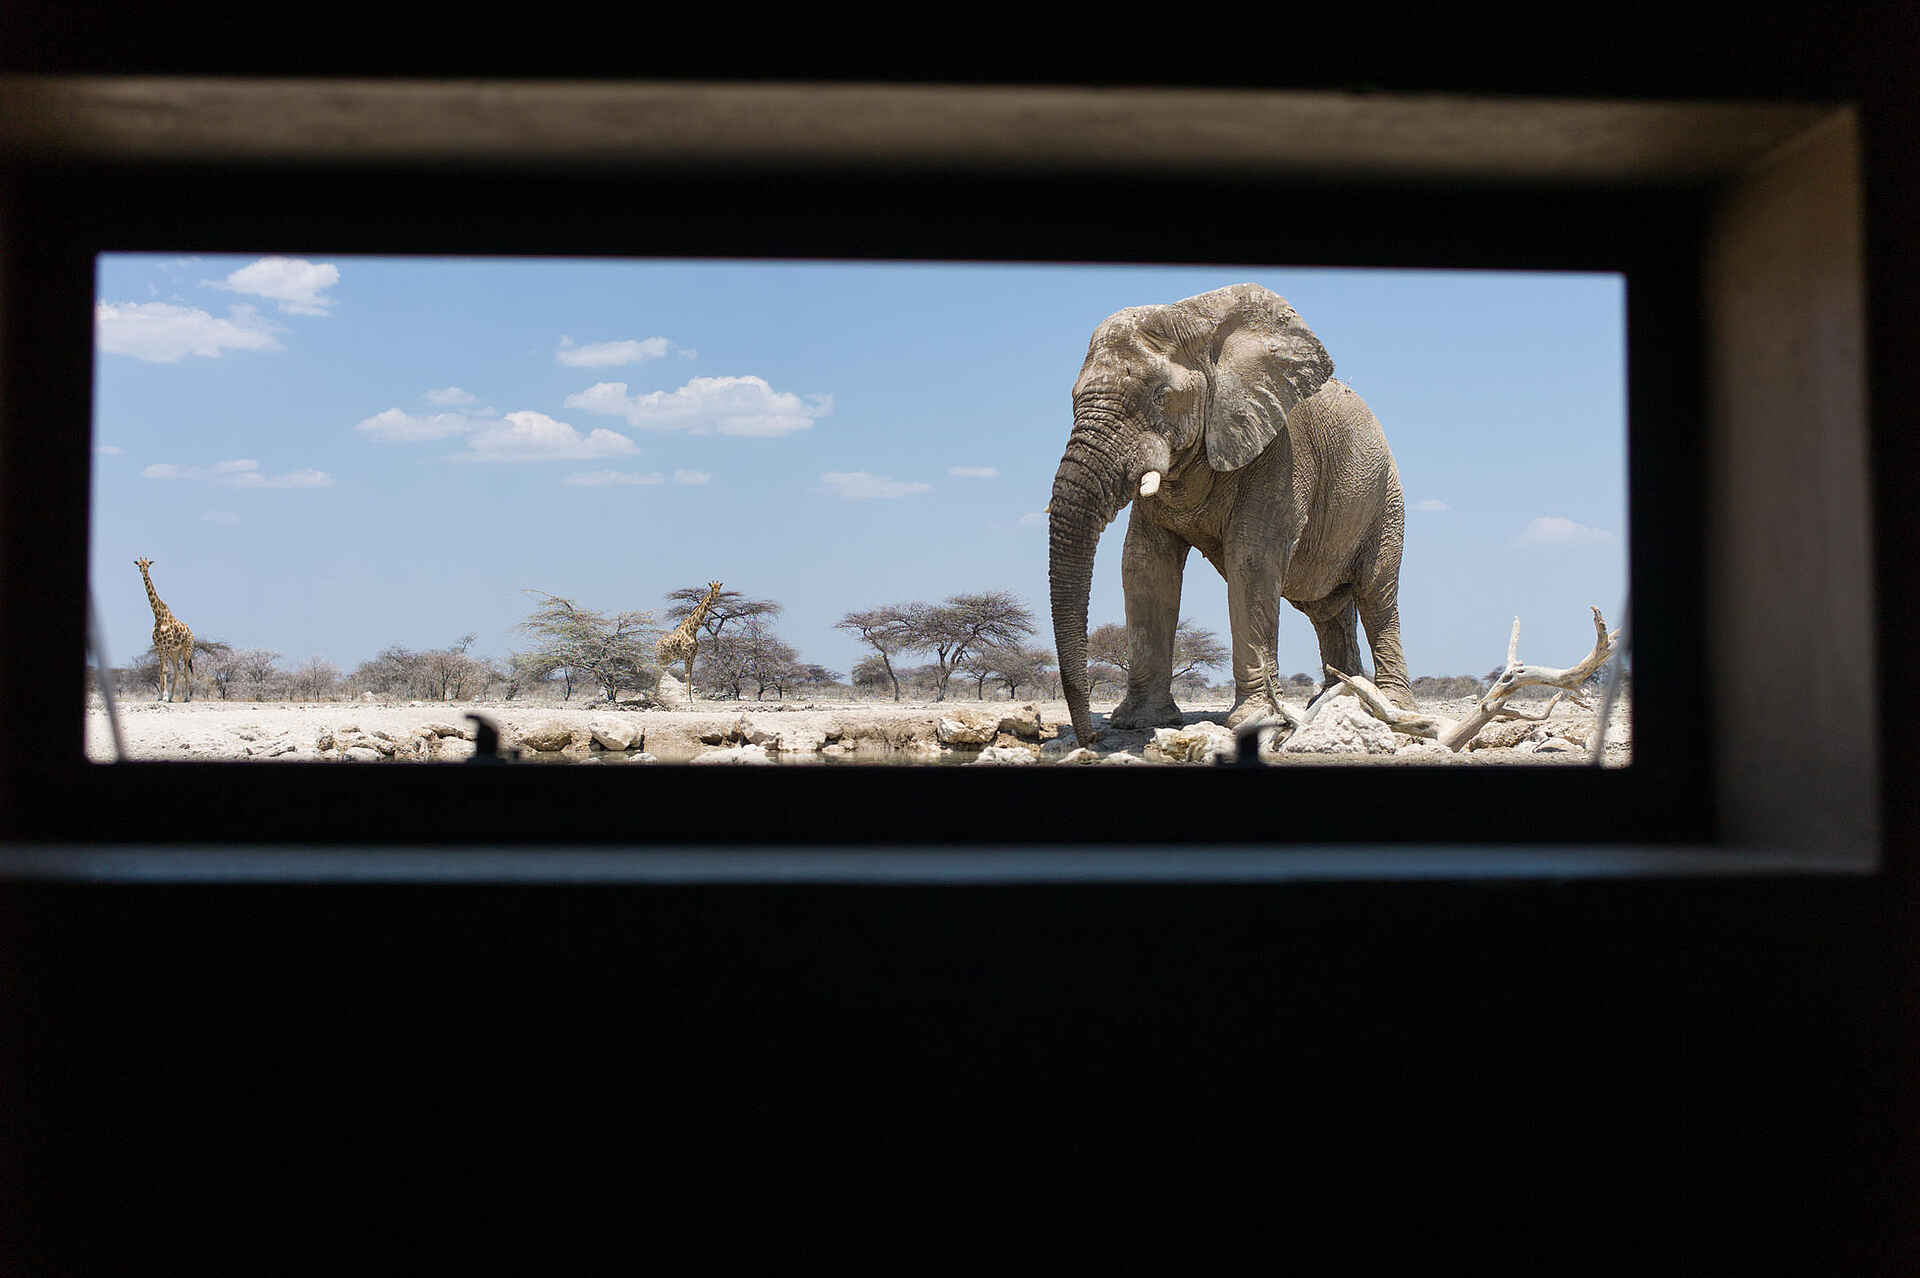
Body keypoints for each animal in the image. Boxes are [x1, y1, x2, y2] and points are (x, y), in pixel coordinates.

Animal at [1047, 282, 1413, 744]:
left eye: (1160, 396)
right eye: (1073, 399)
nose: (1091, 739)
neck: (1196, 321)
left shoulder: (1280, 451)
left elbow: (1252, 560)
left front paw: (1256, 720)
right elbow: (1145, 565)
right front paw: (1139, 722)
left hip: (1387, 500)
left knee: (1376, 595)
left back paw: (1391, 705)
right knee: (1328, 610)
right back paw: (1336, 700)